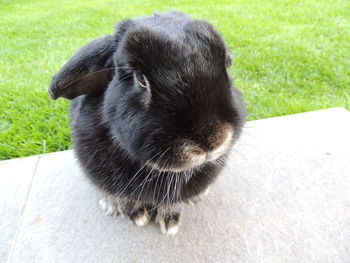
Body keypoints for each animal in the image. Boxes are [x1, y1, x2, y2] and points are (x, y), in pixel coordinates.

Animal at [49, 10, 245, 237]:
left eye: (226, 65)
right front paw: (136, 215)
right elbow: (124, 197)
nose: (211, 141)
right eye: (140, 79)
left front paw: (169, 222)